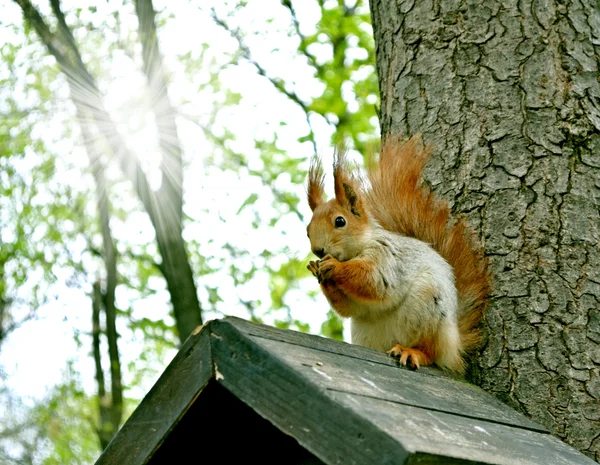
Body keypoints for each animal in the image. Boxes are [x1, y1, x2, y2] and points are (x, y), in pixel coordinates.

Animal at [308, 135, 490, 374]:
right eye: (308, 229)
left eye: (340, 221)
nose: (317, 250)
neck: (359, 247)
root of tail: (454, 343)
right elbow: (348, 307)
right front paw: (316, 268)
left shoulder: (387, 256)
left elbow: (374, 281)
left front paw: (334, 267)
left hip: (429, 305)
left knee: (430, 352)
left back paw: (412, 352)